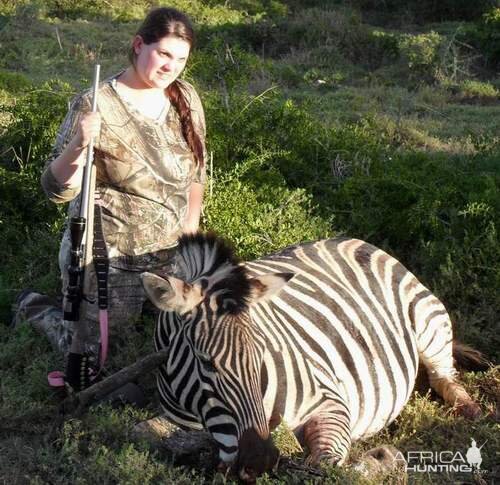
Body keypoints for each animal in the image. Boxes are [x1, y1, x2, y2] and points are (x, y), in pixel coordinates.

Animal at [140, 232, 480, 480]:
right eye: (206, 362)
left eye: (262, 356)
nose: (261, 460)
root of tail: (348, 238)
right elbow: (147, 432)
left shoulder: (330, 402)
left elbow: (325, 469)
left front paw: (382, 461)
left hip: (427, 322)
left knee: (443, 376)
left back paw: (472, 410)